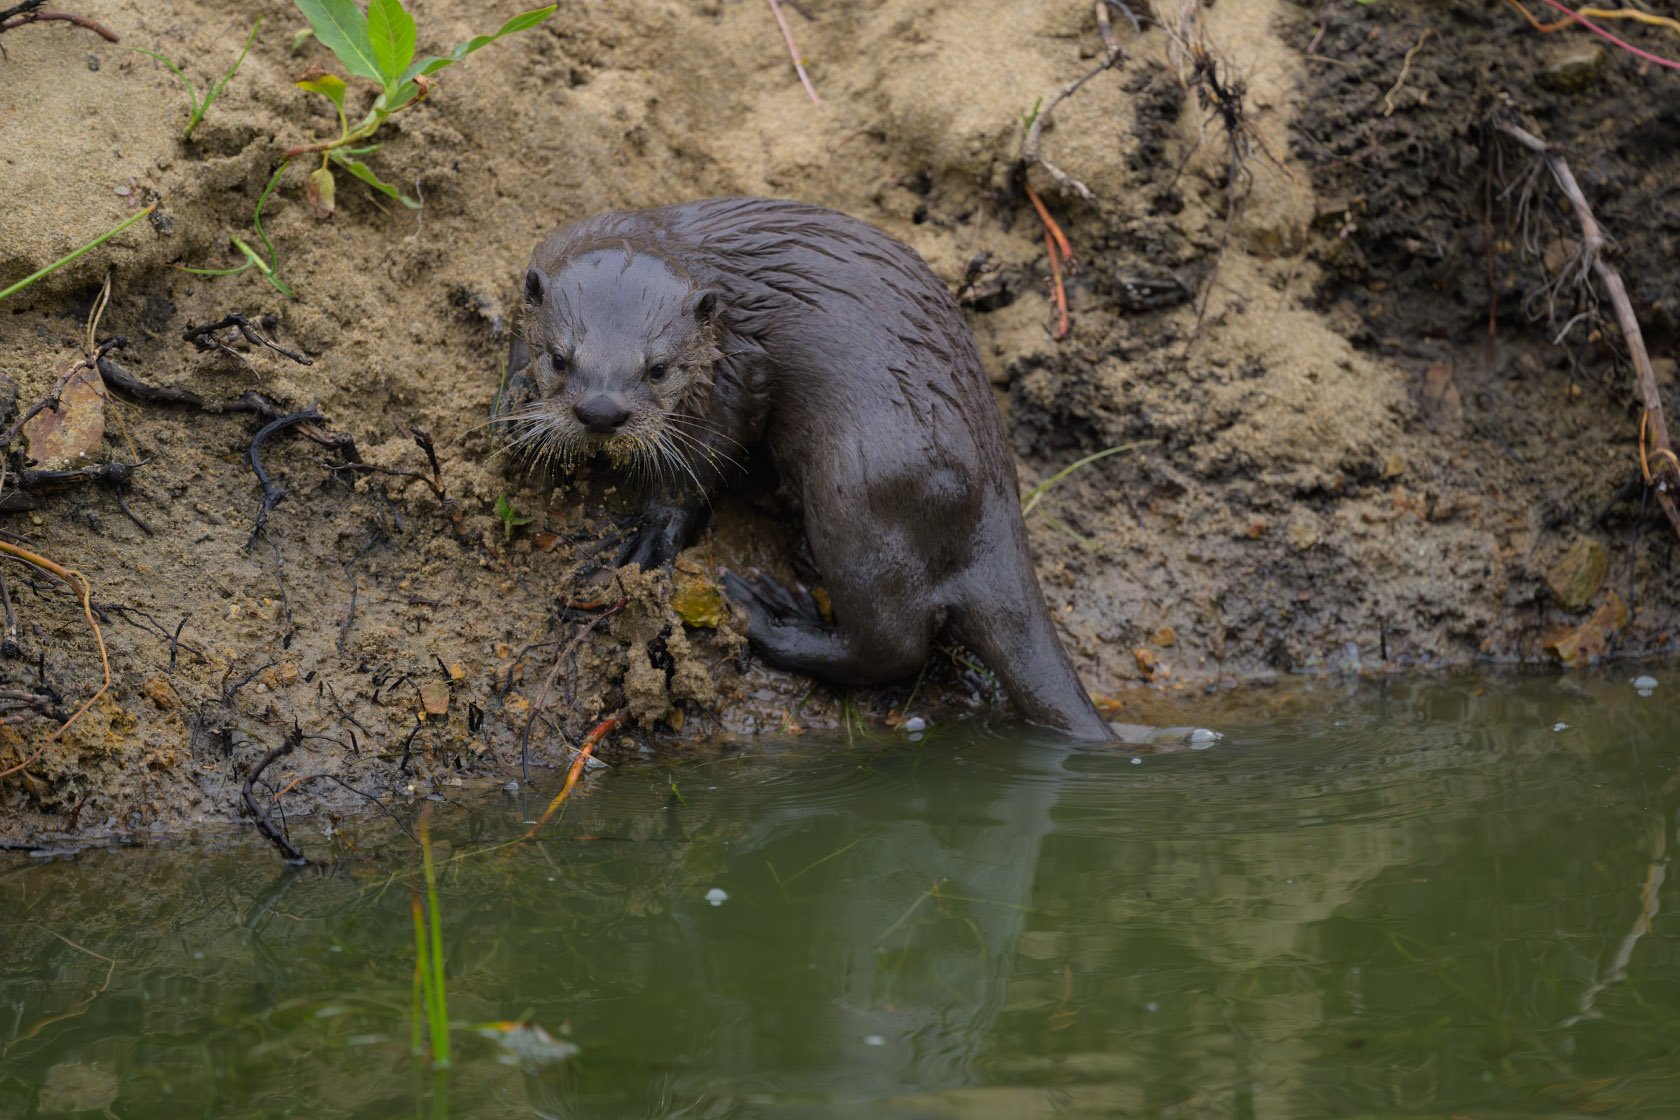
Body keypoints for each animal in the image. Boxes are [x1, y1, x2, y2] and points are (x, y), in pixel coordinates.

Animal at [501, 197, 1112, 740]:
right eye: (559, 358)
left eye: (658, 368)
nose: (602, 410)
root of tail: (995, 502)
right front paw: (507, 404)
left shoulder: (737, 373)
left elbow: (701, 464)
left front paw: (651, 536)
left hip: (859, 486)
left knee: (893, 645)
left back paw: (766, 615)